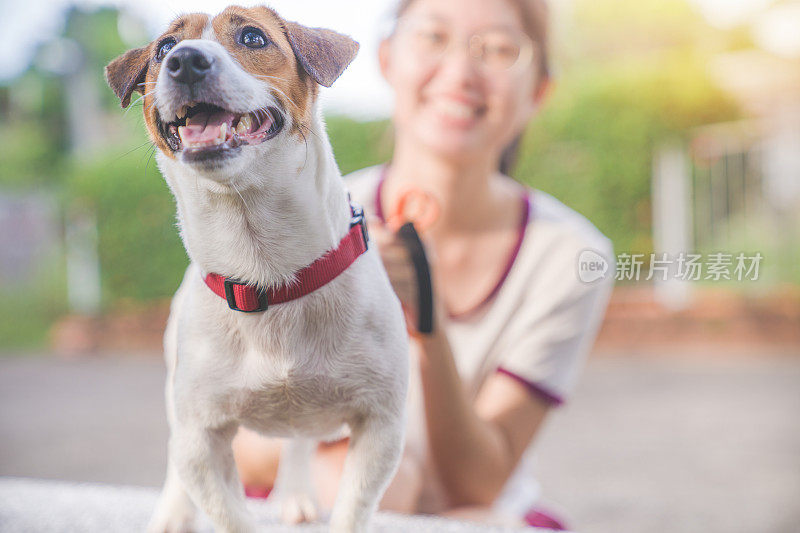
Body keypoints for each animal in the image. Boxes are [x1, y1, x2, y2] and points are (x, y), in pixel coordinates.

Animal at [104, 5, 406, 532]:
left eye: (252, 37)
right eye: (164, 48)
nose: (185, 61)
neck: (265, 272)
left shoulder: (380, 425)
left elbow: (353, 508)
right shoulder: (201, 439)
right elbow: (226, 509)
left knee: (300, 443)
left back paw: (297, 495)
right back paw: (173, 512)